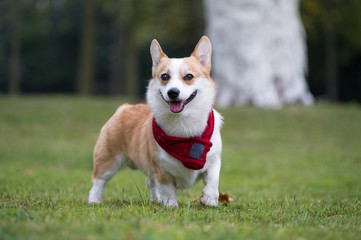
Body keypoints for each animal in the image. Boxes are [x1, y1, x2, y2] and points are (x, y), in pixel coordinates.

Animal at [88, 36, 222, 207]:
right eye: (164, 76)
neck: (184, 125)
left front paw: (210, 198)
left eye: (189, 77)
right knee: (99, 181)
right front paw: (171, 206)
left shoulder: (214, 158)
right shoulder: (160, 167)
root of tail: (124, 107)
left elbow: (213, 178)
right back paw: (94, 201)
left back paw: (156, 199)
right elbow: (168, 188)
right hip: (109, 160)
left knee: (150, 182)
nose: (173, 92)